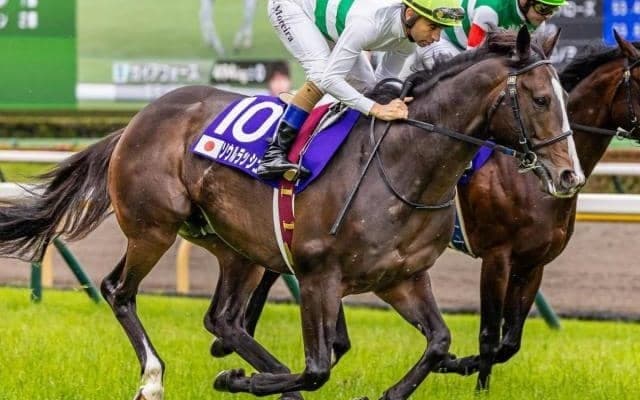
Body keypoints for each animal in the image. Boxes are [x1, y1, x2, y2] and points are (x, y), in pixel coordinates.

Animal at [0, 28, 583, 400]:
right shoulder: (320, 275)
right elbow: (318, 367)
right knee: (119, 290)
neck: (403, 164)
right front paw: (239, 380)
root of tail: (137, 120)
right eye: (538, 99)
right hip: (153, 227)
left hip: (236, 247)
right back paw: (155, 378)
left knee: (224, 318)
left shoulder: (403, 277)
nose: (569, 177)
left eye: (562, 97)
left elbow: (438, 344)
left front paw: (388, 392)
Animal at [211, 31, 640, 395]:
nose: (569, 176)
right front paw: (472, 380)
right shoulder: (498, 256)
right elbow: (490, 337)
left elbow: (510, 342)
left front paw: (456, 363)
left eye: (563, 100)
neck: (528, 180)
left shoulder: (534, 263)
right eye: (540, 100)